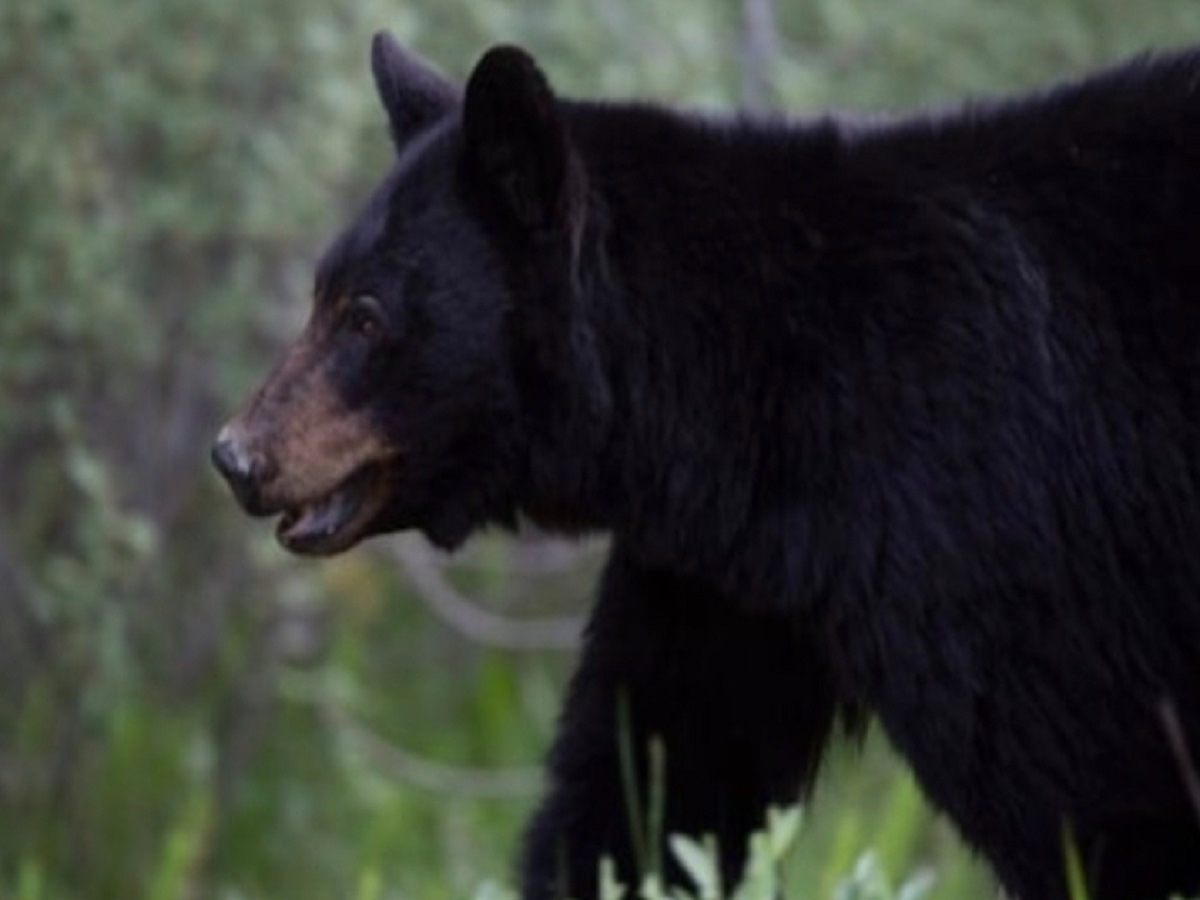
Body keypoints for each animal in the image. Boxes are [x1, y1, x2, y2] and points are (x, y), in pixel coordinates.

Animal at [211, 32, 1200, 900]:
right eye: (321, 292)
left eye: (366, 315)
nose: (235, 455)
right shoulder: (725, 579)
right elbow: (653, 783)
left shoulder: (993, 519)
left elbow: (1088, 791)